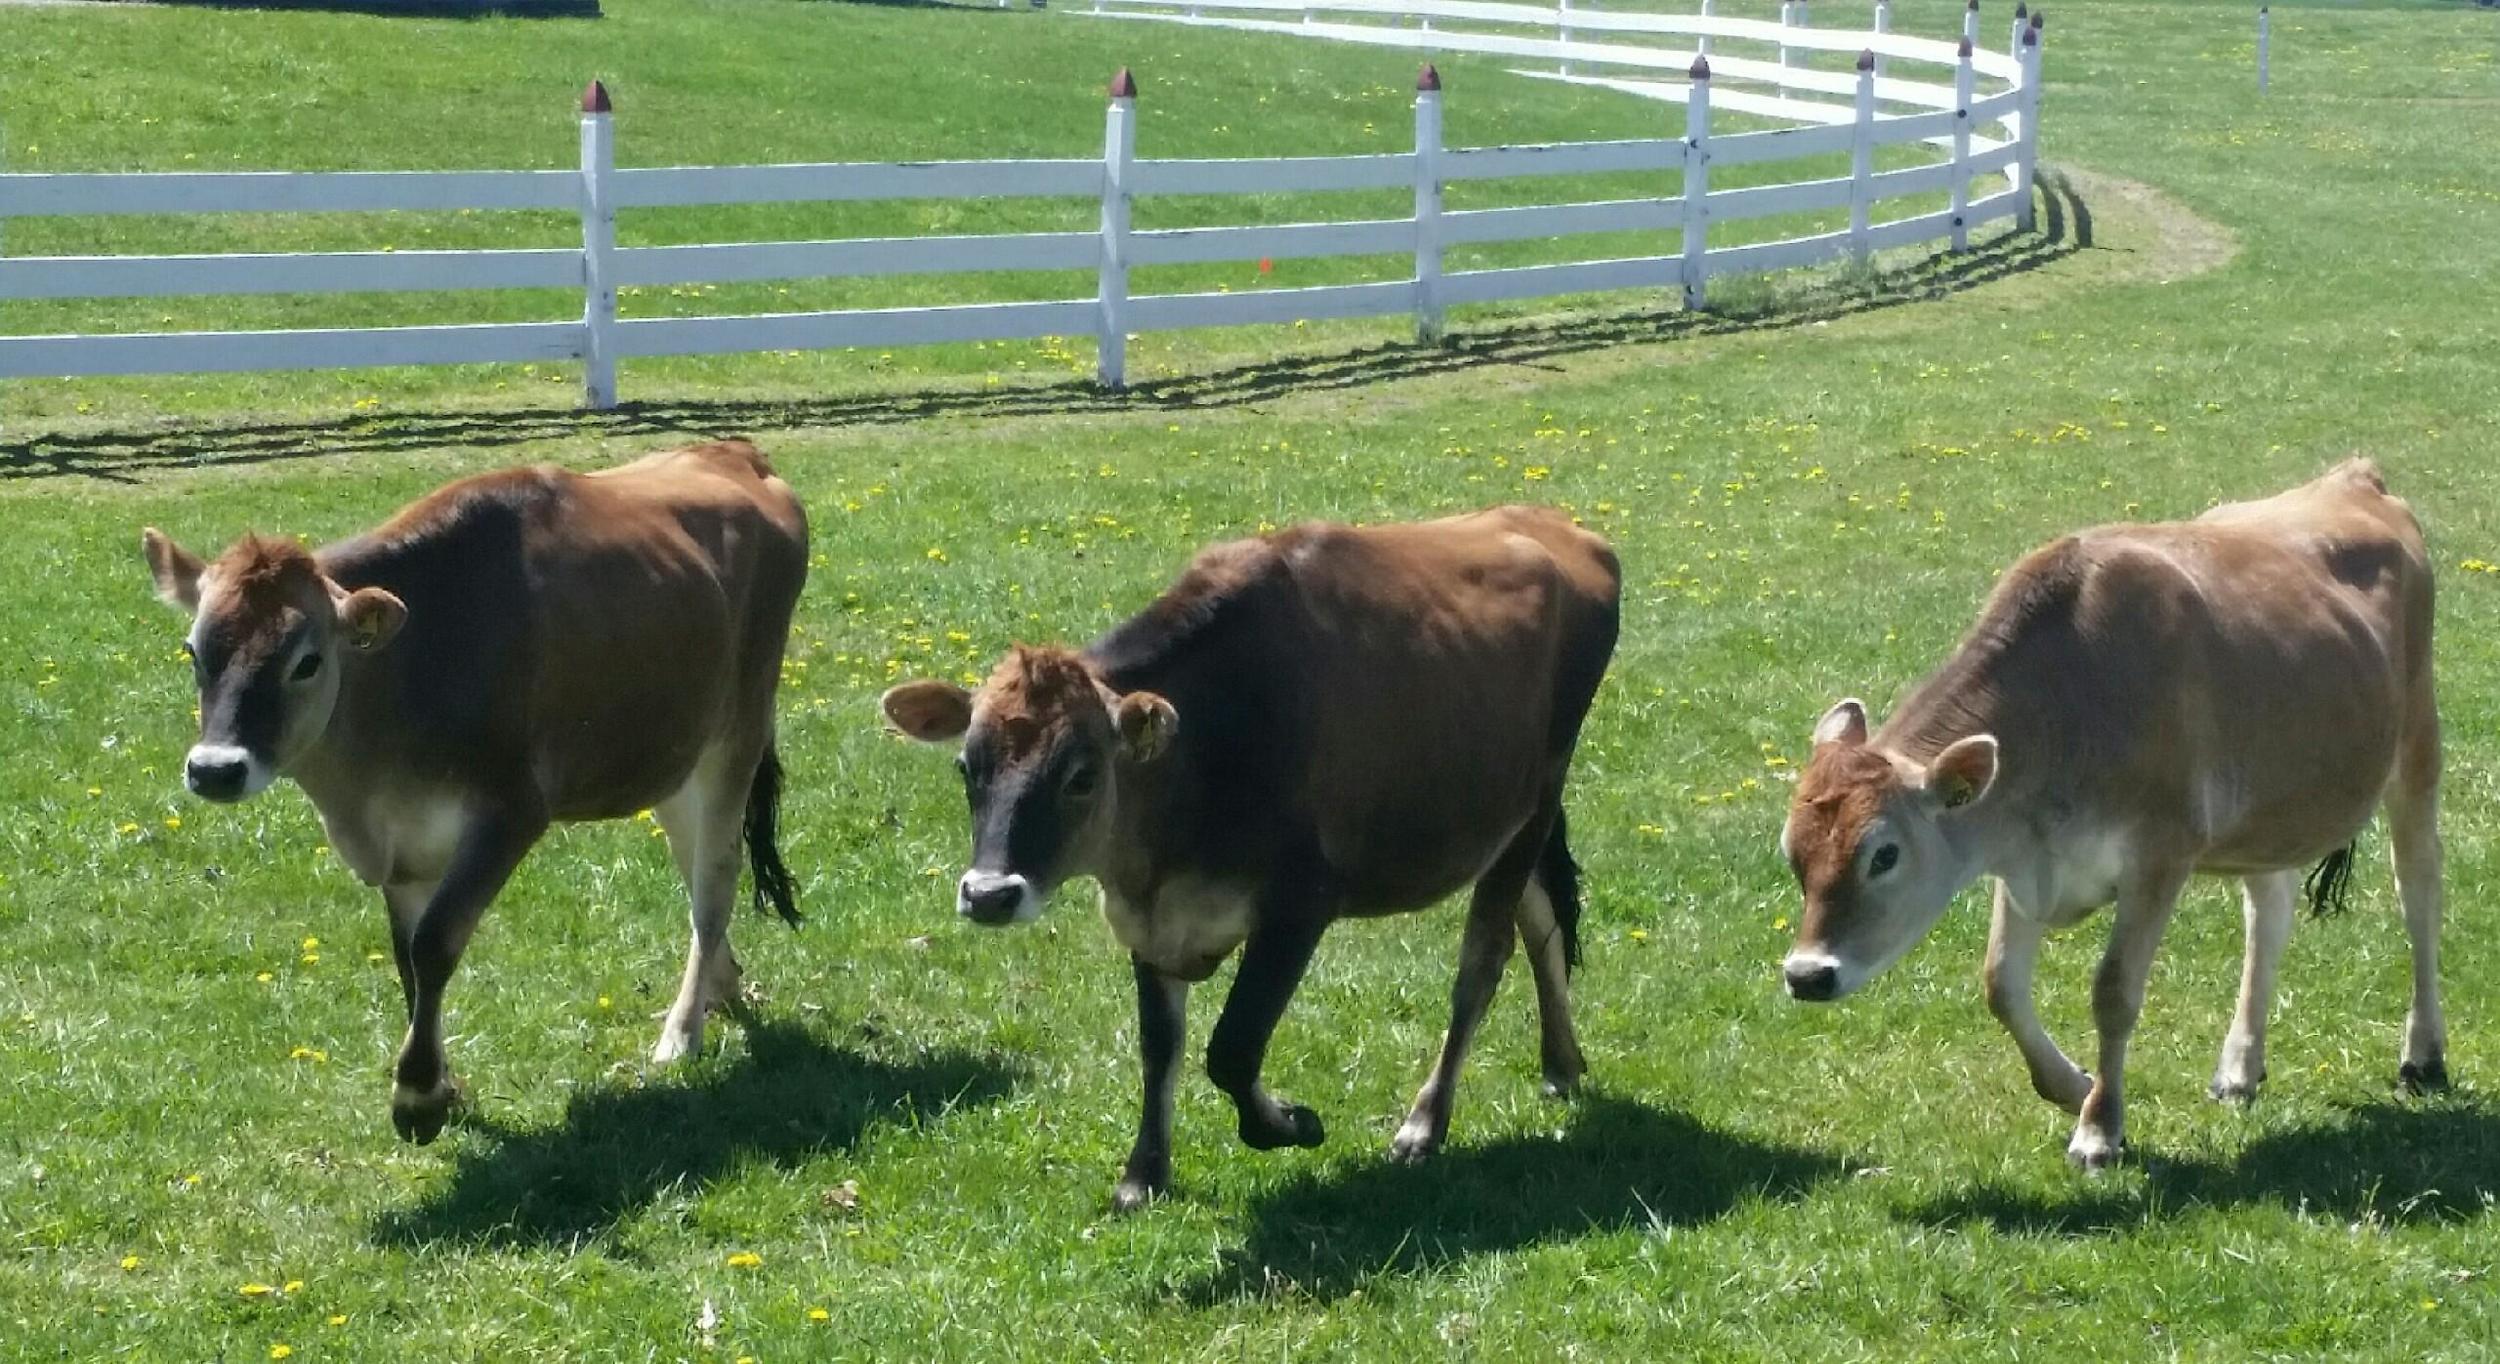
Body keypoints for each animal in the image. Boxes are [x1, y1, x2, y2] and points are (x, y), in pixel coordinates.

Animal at [140, 439, 809, 1143]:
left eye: (307, 661)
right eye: (194, 651)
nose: (216, 768)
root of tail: (730, 450)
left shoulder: (511, 811)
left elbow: (435, 944)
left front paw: (417, 1096)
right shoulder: (400, 847)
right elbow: (406, 958)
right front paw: (444, 1083)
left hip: (739, 727)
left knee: (715, 878)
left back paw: (683, 1032)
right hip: (673, 751)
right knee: (693, 860)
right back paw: (721, 988)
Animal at [880, 506, 1620, 1211]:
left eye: (1081, 776)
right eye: (966, 766)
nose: (989, 894)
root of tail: (1555, 528)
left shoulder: (1301, 904)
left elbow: (1232, 1048)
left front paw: (1291, 1124)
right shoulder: (1148, 919)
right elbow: (1161, 1048)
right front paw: (1143, 1175)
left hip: (1532, 804)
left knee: (1482, 962)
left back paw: (1425, 1123)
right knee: (1542, 920)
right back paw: (1561, 1062)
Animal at [1777, 459, 2444, 1169]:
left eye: (1885, 854)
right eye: (1793, 852)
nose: (1806, 974)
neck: (2071, 701)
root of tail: (2352, 477)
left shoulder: (2161, 854)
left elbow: (2115, 992)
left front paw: (2100, 1127)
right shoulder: (2022, 854)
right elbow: (2001, 984)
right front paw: (2075, 1087)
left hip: (2417, 745)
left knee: (2419, 891)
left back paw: (2423, 1057)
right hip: (2269, 810)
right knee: (2270, 911)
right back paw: (2239, 1068)